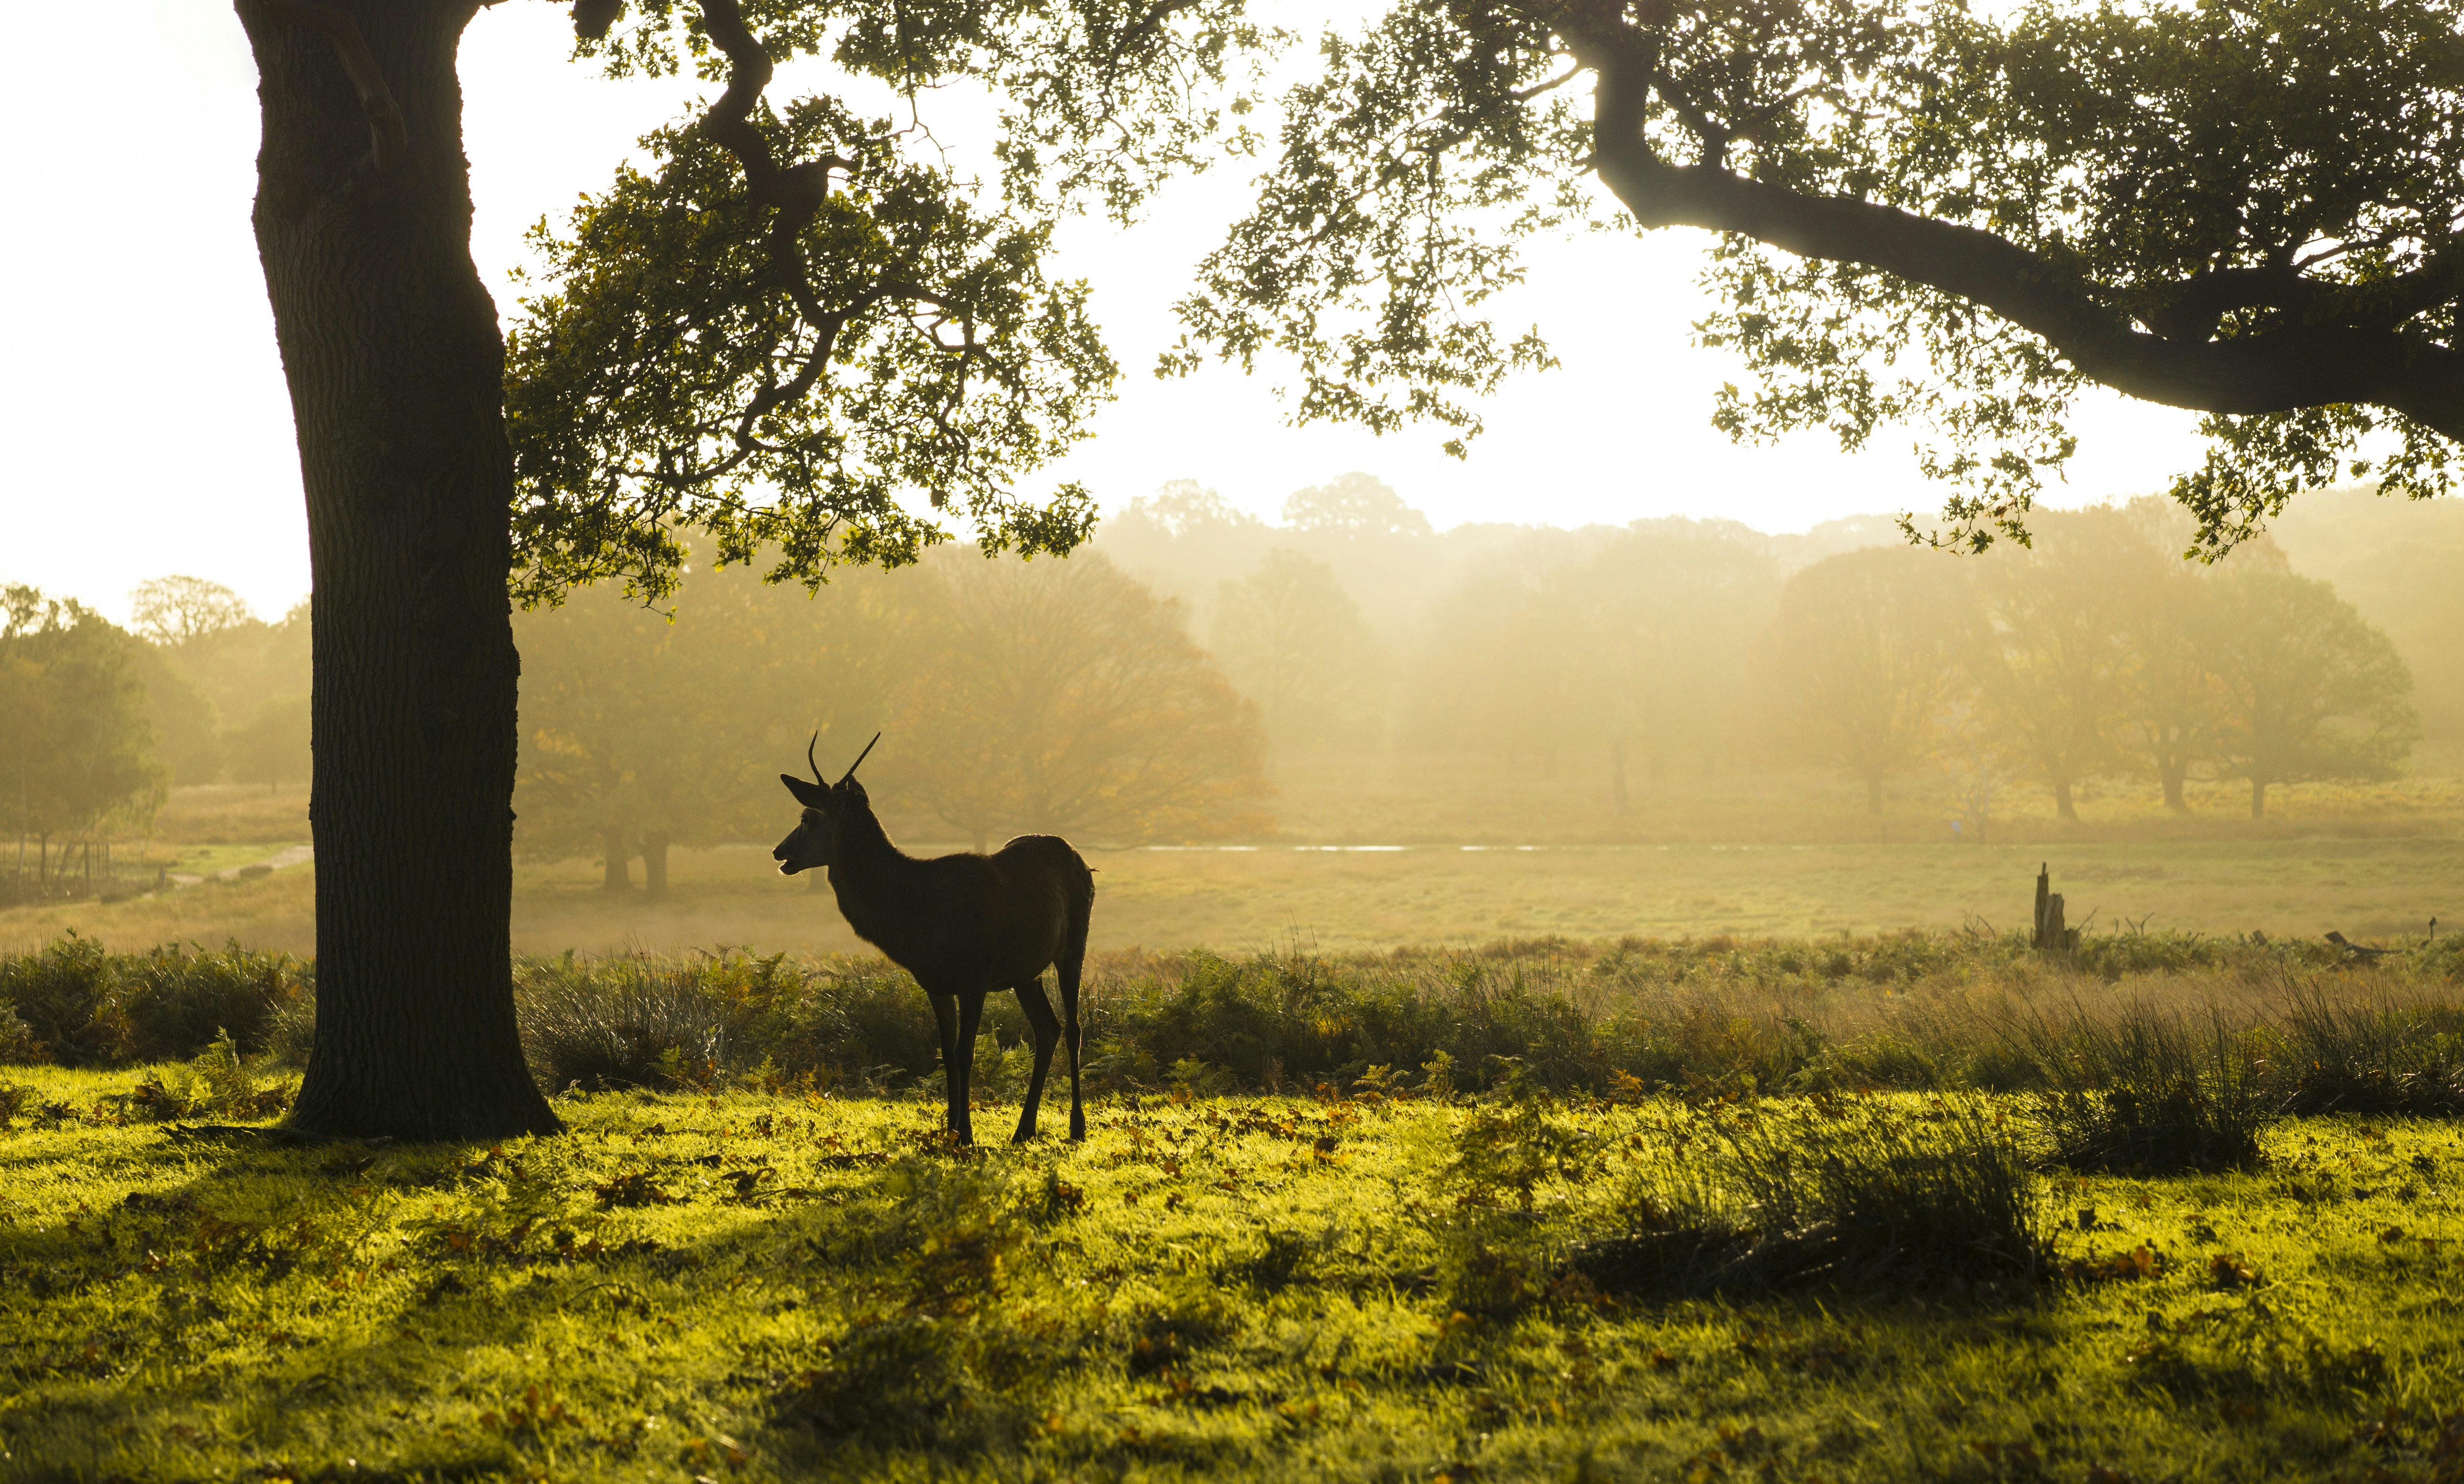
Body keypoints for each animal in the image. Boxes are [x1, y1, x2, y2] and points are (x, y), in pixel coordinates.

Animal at [773, 734, 1095, 1144]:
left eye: (807, 817)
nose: (779, 851)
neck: (918, 921)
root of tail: (1080, 859)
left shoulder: (975, 973)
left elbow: (965, 1050)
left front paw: (967, 1133)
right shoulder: (934, 981)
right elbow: (945, 1050)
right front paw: (951, 1128)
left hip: (1074, 943)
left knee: (1073, 1028)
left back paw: (1076, 1126)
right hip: (1026, 972)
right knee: (1047, 1028)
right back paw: (1023, 1129)